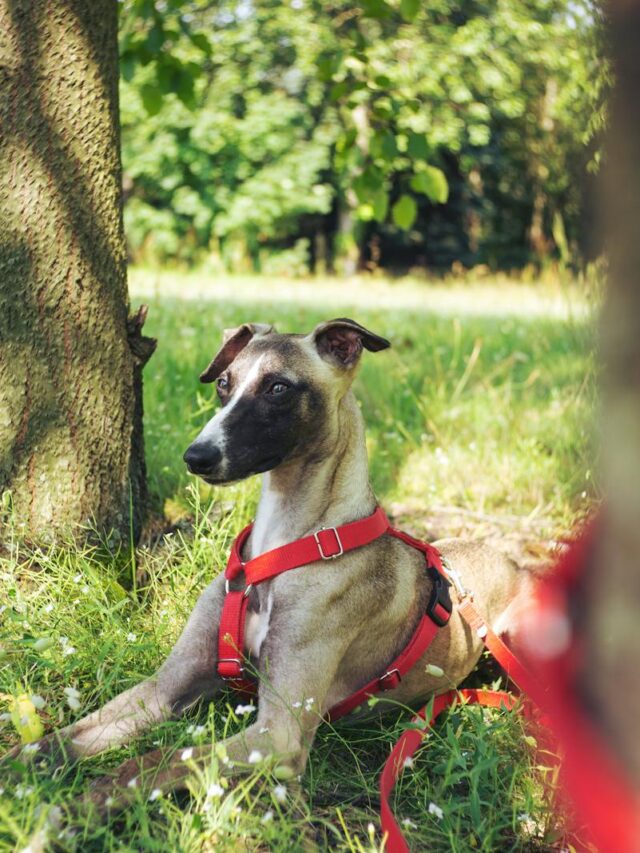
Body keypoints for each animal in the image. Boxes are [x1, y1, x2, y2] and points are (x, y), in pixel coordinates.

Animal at [2, 316, 528, 808]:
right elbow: (64, 740)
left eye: (278, 387)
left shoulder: (278, 734)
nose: (196, 456)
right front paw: (21, 775)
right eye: (223, 383)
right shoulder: (164, 688)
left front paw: (77, 809)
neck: (283, 549)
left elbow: (156, 761)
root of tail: (511, 561)